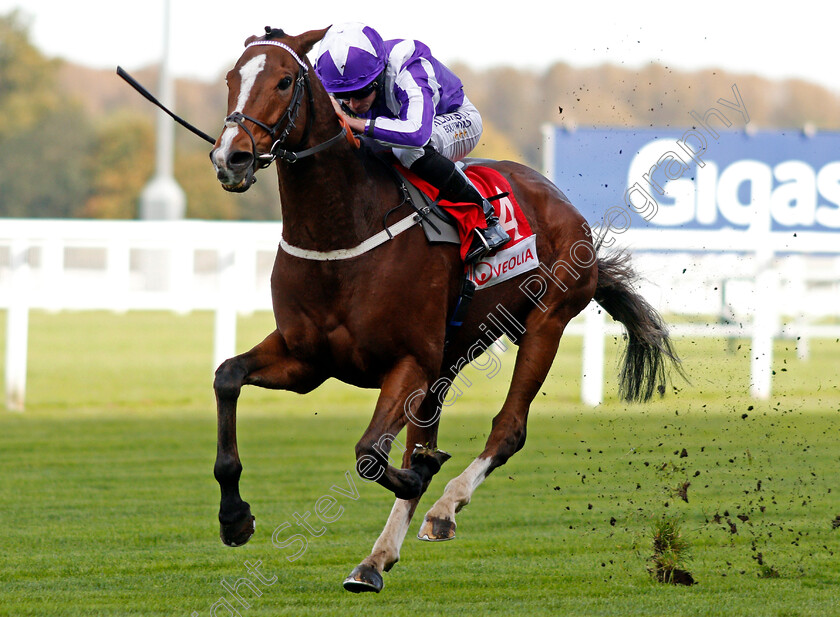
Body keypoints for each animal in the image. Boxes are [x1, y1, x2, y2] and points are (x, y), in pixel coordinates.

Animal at [210, 25, 684, 592]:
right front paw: (234, 517)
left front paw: (422, 473)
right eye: (231, 78)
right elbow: (227, 377)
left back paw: (443, 506)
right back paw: (375, 559)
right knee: (424, 435)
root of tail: (561, 201)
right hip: (449, 357)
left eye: (284, 81)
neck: (341, 234)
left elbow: (370, 455)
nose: (231, 157)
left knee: (508, 428)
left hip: (544, 323)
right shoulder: (307, 360)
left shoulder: (408, 360)